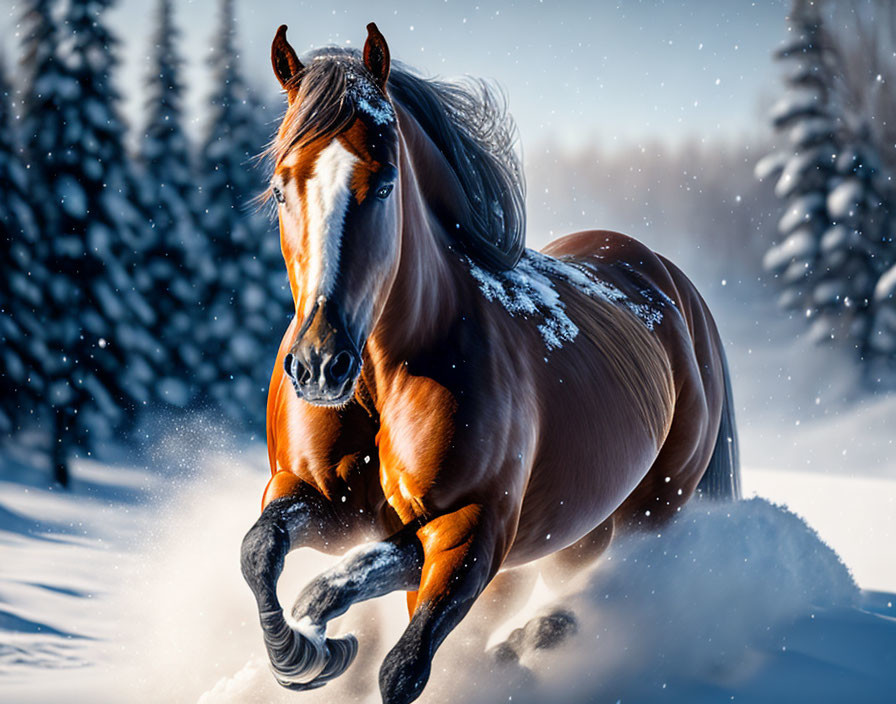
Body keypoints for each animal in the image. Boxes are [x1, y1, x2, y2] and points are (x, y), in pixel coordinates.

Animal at [240, 22, 744, 704]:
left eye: (387, 182)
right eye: (281, 186)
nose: (321, 366)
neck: (387, 375)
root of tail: (674, 284)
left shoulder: (469, 531)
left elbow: (401, 666)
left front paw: (323, 637)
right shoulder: (319, 497)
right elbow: (265, 549)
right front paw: (308, 650)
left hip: (644, 518)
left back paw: (531, 643)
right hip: (570, 534)